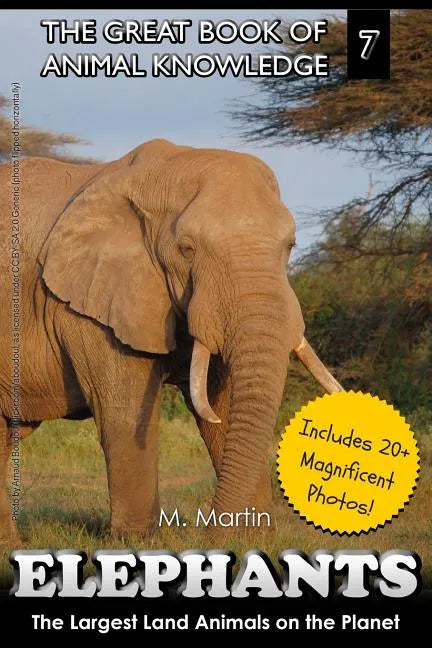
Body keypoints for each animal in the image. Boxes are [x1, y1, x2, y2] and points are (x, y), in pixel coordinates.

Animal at [0, 139, 342, 542]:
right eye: (187, 249)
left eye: (291, 245)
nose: (208, 534)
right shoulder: (89, 306)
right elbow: (126, 412)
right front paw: (138, 544)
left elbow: (224, 404)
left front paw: (250, 541)